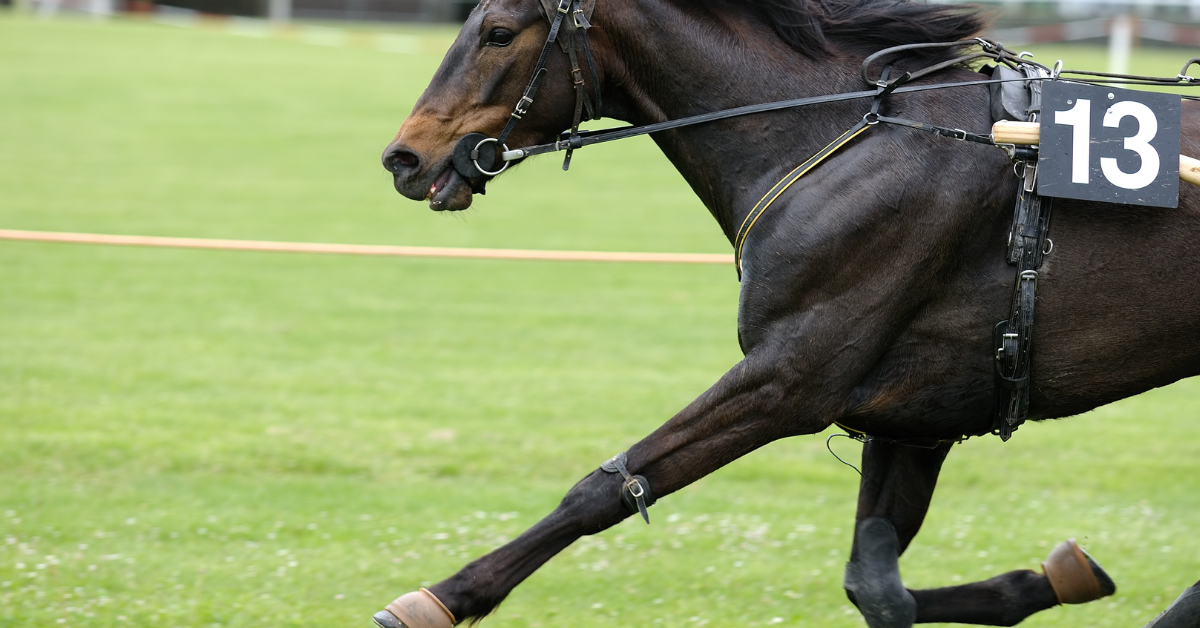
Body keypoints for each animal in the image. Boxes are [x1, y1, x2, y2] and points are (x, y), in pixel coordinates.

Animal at [376, 0, 1200, 625]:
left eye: (497, 32)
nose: (404, 158)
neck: (839, 136)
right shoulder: (915, 415)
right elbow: (877, 586)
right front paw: (1052, 578)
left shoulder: (790, 378)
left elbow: (606, 487)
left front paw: (437, 599)